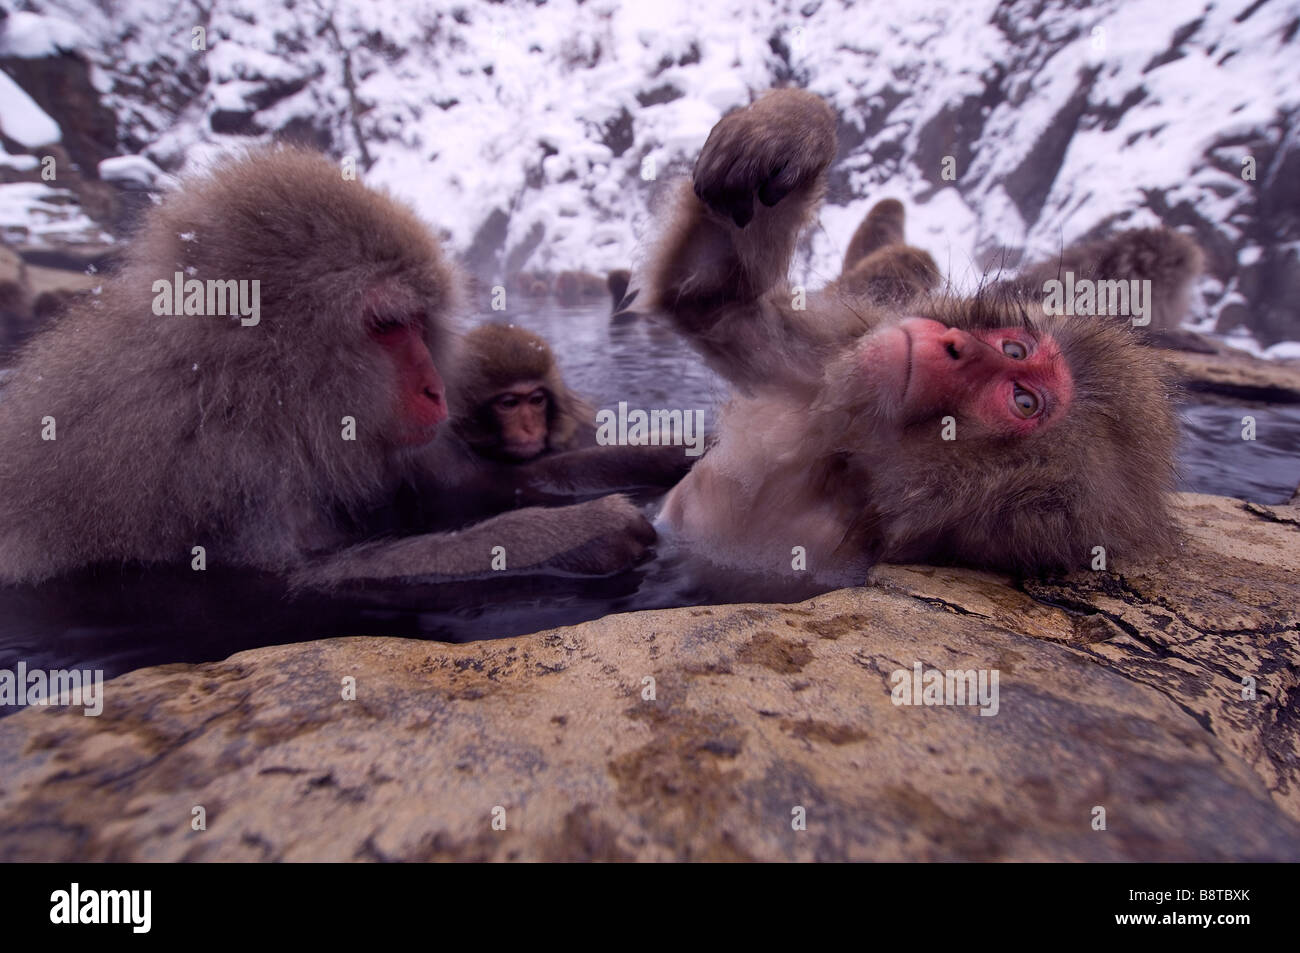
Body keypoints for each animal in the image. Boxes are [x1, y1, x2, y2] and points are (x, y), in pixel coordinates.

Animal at [0, 146, 658, 589]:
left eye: (419, 322)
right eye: (387, 325)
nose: (436, 390)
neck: (255, 391)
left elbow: (473, 483)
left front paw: (669, 450)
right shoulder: (219, 465)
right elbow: (301, 577)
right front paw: (589, 530)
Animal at [646, 89, 1188, 583]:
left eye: (1024, 401)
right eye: (1015, 347)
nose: (956, 346)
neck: (842, 467)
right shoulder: (831, 359)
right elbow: (712, 298)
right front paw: (786, 129)